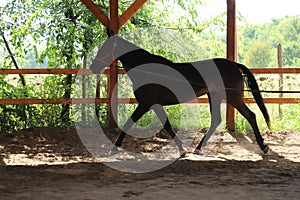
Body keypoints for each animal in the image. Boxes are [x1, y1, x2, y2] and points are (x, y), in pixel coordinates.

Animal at [90, 35, 270, 155]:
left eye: (105, 48)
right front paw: (182, 149)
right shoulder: (155, 105)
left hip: (233, 97)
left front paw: (114, 148)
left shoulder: (145, 104)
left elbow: (128, 123)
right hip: (215, 96)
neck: (146, 69)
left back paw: (263, 146)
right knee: (216, 120)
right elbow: (167, 125)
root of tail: (234, 65)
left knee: (251, 115)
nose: (93, 67)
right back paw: (198, 147)